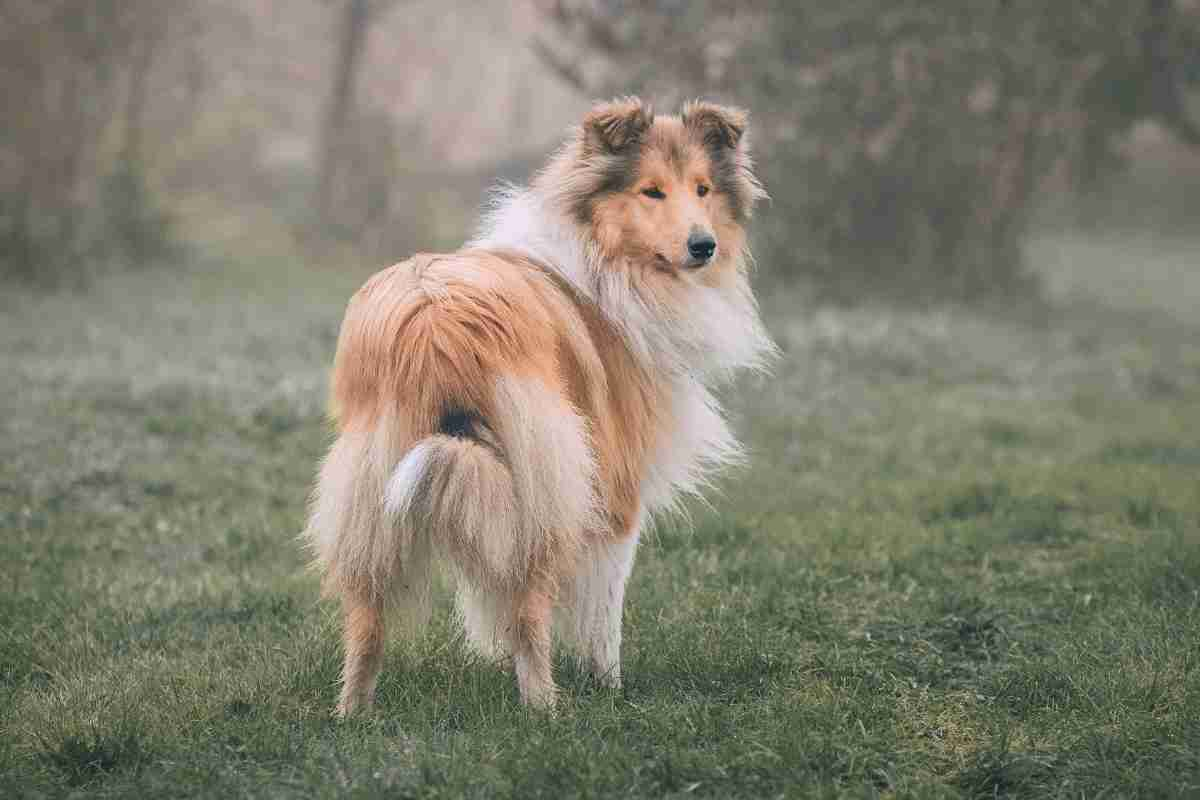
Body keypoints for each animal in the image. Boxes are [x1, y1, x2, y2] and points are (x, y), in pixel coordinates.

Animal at [304, 94, 772, 714]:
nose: (704, 246)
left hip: (378, 489)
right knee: (530, 612)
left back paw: (353, 714)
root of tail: (434, 322)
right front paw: (609, 687)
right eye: (651, 191)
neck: (601, 255)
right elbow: (604, 615)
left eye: (703, 189)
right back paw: (544, 709)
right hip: (542, 489)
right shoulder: (616, 498)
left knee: (366, 622)